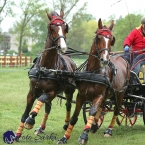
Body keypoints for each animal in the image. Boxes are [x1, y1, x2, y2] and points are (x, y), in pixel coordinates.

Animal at [14, 9, 76, 141]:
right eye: (51, 27)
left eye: (65, 27)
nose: (63, 47)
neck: (44, 68)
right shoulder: (31, 92)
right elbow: (25, 113)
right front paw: (17, 135)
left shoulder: (51, 92)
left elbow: (40, 101)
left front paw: (30, 120)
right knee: (48, 107)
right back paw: (41, 128)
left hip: (69, 90)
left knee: (68, 105)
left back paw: (66, 124)